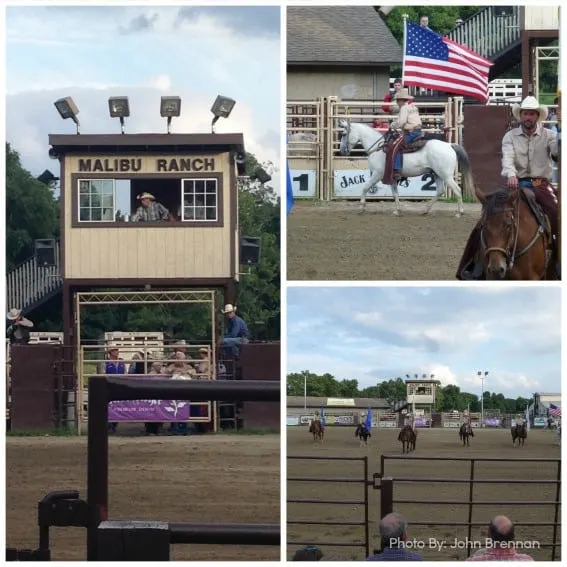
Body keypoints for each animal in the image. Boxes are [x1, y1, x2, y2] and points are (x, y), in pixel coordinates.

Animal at [338, 120, 474, 217]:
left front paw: (361, 207)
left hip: (446, 175)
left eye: (344, 134)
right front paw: (397, 210)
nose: (342, 151)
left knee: (457, 189)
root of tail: (449, 145)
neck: (379, 148)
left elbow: (365, 187)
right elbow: (395, 193)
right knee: (440, 190)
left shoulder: (377, 174)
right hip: (437, 174)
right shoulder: (391, 176)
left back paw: (459, 212)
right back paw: (425, 210)